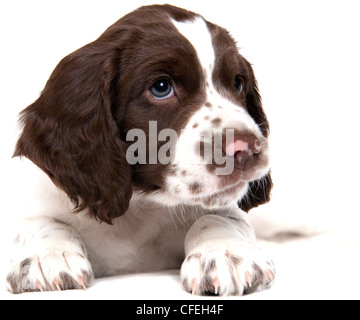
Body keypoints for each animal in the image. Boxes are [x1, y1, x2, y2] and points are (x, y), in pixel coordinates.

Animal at [5, 4, 274, 296]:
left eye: (238, 83)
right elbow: (39, 222)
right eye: (161, 87)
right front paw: (49, 255)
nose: (247, 149)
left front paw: (222, 252)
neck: (139, 207)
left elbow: (219, 218)